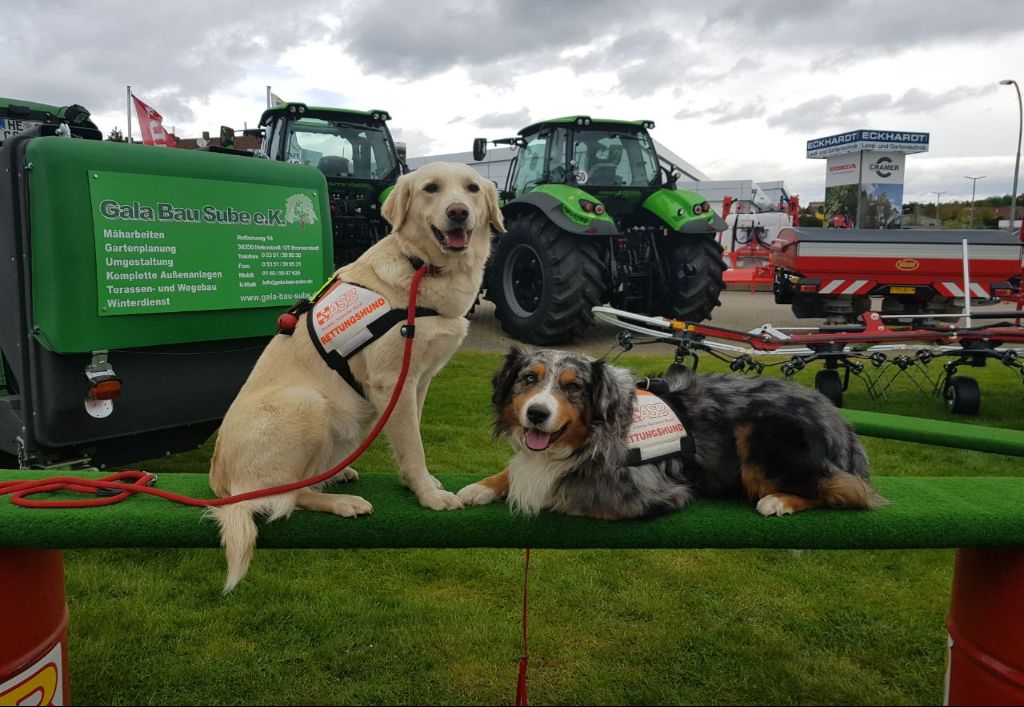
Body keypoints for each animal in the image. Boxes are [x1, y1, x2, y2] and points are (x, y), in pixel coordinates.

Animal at [458, 346, 888, 518]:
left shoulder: (644, 493)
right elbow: (516, 469)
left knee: (846, 490)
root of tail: (841, 424)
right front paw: (481, 486)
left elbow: (559, 488)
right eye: (529, 379)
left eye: (573, 387)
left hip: (761, 436)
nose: (536, 413)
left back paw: (779, 501)